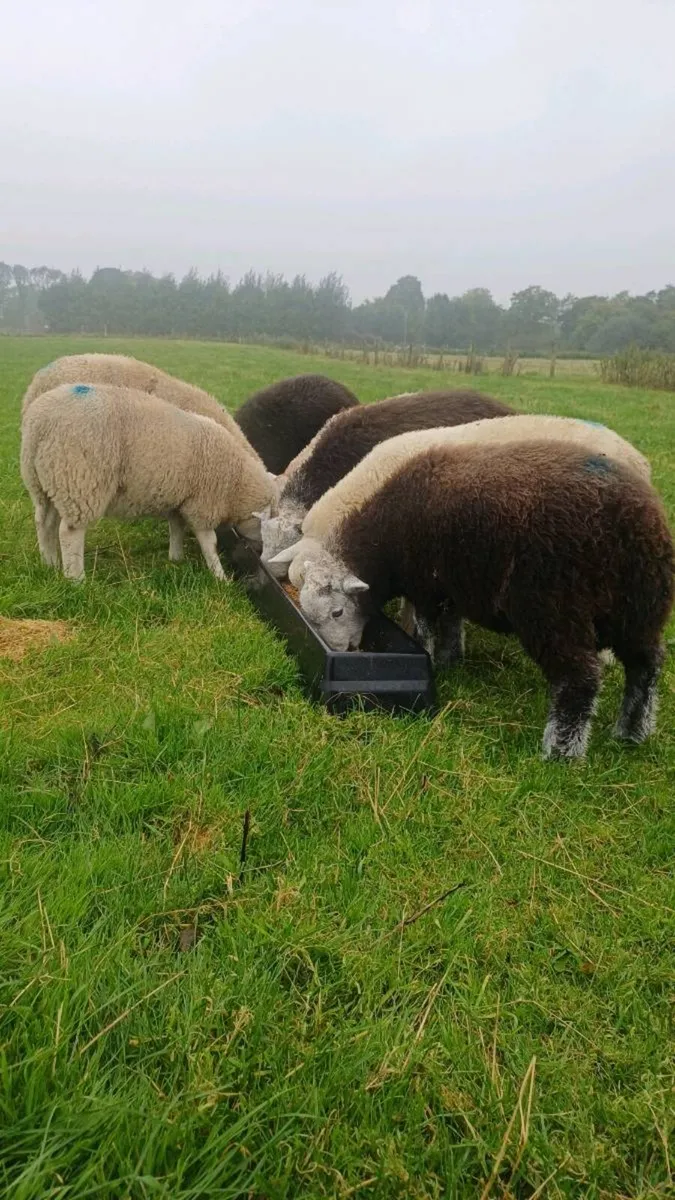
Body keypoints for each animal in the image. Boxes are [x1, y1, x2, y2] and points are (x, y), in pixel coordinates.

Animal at [20, 383, 277, 581]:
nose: (262, 554)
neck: (238, 479)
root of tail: (38, 423)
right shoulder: (203, 504)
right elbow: (210, 543)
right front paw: (220, 577)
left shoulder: (180, 499)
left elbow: (176, 528)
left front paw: (176, 558)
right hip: (79, 479)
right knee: (69, 532)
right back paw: (76, 579)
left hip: (45, 482)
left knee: (44, 522)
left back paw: (49, 563)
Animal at [296, 440, 674, 759]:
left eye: (337, 612)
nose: (340, 651)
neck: (382, 541)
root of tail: (630, 521)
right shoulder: (449, 585)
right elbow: (450, 626)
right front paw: (450, 661)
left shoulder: (425, 584)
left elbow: (426, 628)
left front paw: (431, 656)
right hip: (639, 608)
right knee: (646, 666)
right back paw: (632, 733)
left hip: (553, 606)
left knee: (580, 676)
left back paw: (560, 754)